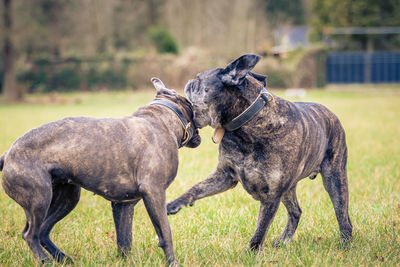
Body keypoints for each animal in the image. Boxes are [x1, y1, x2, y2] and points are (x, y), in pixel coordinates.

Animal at [0, 77, 200, 266]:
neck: (162, 118)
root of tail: (8, 154)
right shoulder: (154, 192)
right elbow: (165, 232)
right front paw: (173, 263)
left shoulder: (123, 205)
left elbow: (124, 240)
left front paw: (124, 262)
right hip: (39, 200)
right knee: (30, 234)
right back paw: (46, 261)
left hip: (67, 198)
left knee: (42, 231)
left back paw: (62, 258)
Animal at [167, 54, 352, 251]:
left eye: (199, 79)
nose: (189, 81)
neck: (247, 124)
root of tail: (331, 115)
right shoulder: (225, 176)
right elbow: (196, 188)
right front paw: (173, 204)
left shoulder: (272, 195)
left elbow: (260, 229)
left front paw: (251, 253)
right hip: (289, 190)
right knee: (296, 212)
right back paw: (284, 240)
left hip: (334, 179)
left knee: (343, 215)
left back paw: (345, 245)